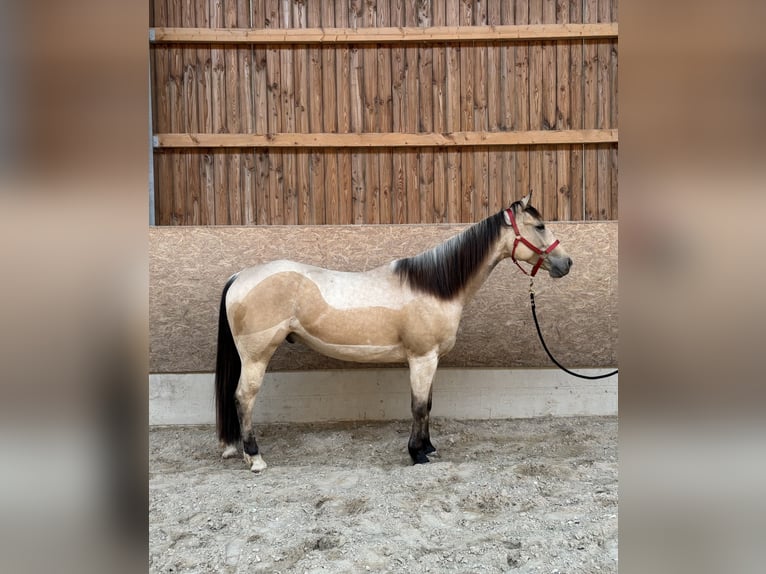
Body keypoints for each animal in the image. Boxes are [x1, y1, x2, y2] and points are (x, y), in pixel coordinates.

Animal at [214, 192, 572, 472]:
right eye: (540, 226)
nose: (566, 263)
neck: (435, 287)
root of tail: (240, 276)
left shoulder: (431, 360)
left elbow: (428, 404)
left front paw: (428, 448)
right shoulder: (422, 358)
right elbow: (418, 406)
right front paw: (417, 455)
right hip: (257, 356)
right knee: (244, 398)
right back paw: (255, 458)